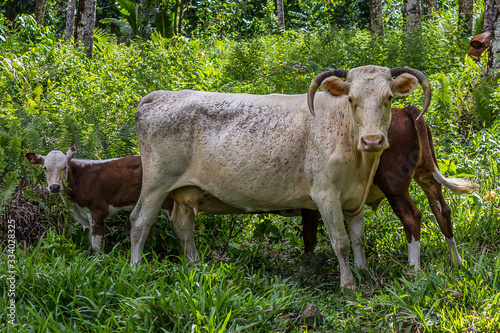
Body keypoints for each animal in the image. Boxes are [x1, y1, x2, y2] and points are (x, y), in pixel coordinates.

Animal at [131, 65, 432, 288]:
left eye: (388, 98)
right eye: (351, 99)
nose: (372, 140)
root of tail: (159, 96)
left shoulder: (353, 199)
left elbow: (358, 239)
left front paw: (363, 272)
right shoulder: (325, 195)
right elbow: (341, 243)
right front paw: (348, 284)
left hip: (186, 190)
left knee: (183, 224)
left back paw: (194, 265)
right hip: (156, 184)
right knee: (139, 222)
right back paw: (136, 268)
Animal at [298, 106, 478, 270]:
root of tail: (405, 110)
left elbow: (309, 235)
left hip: (393, 184)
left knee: (412, 216)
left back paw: (413, 269)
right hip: (427, 171)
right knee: (442, 209)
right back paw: (456, 261)